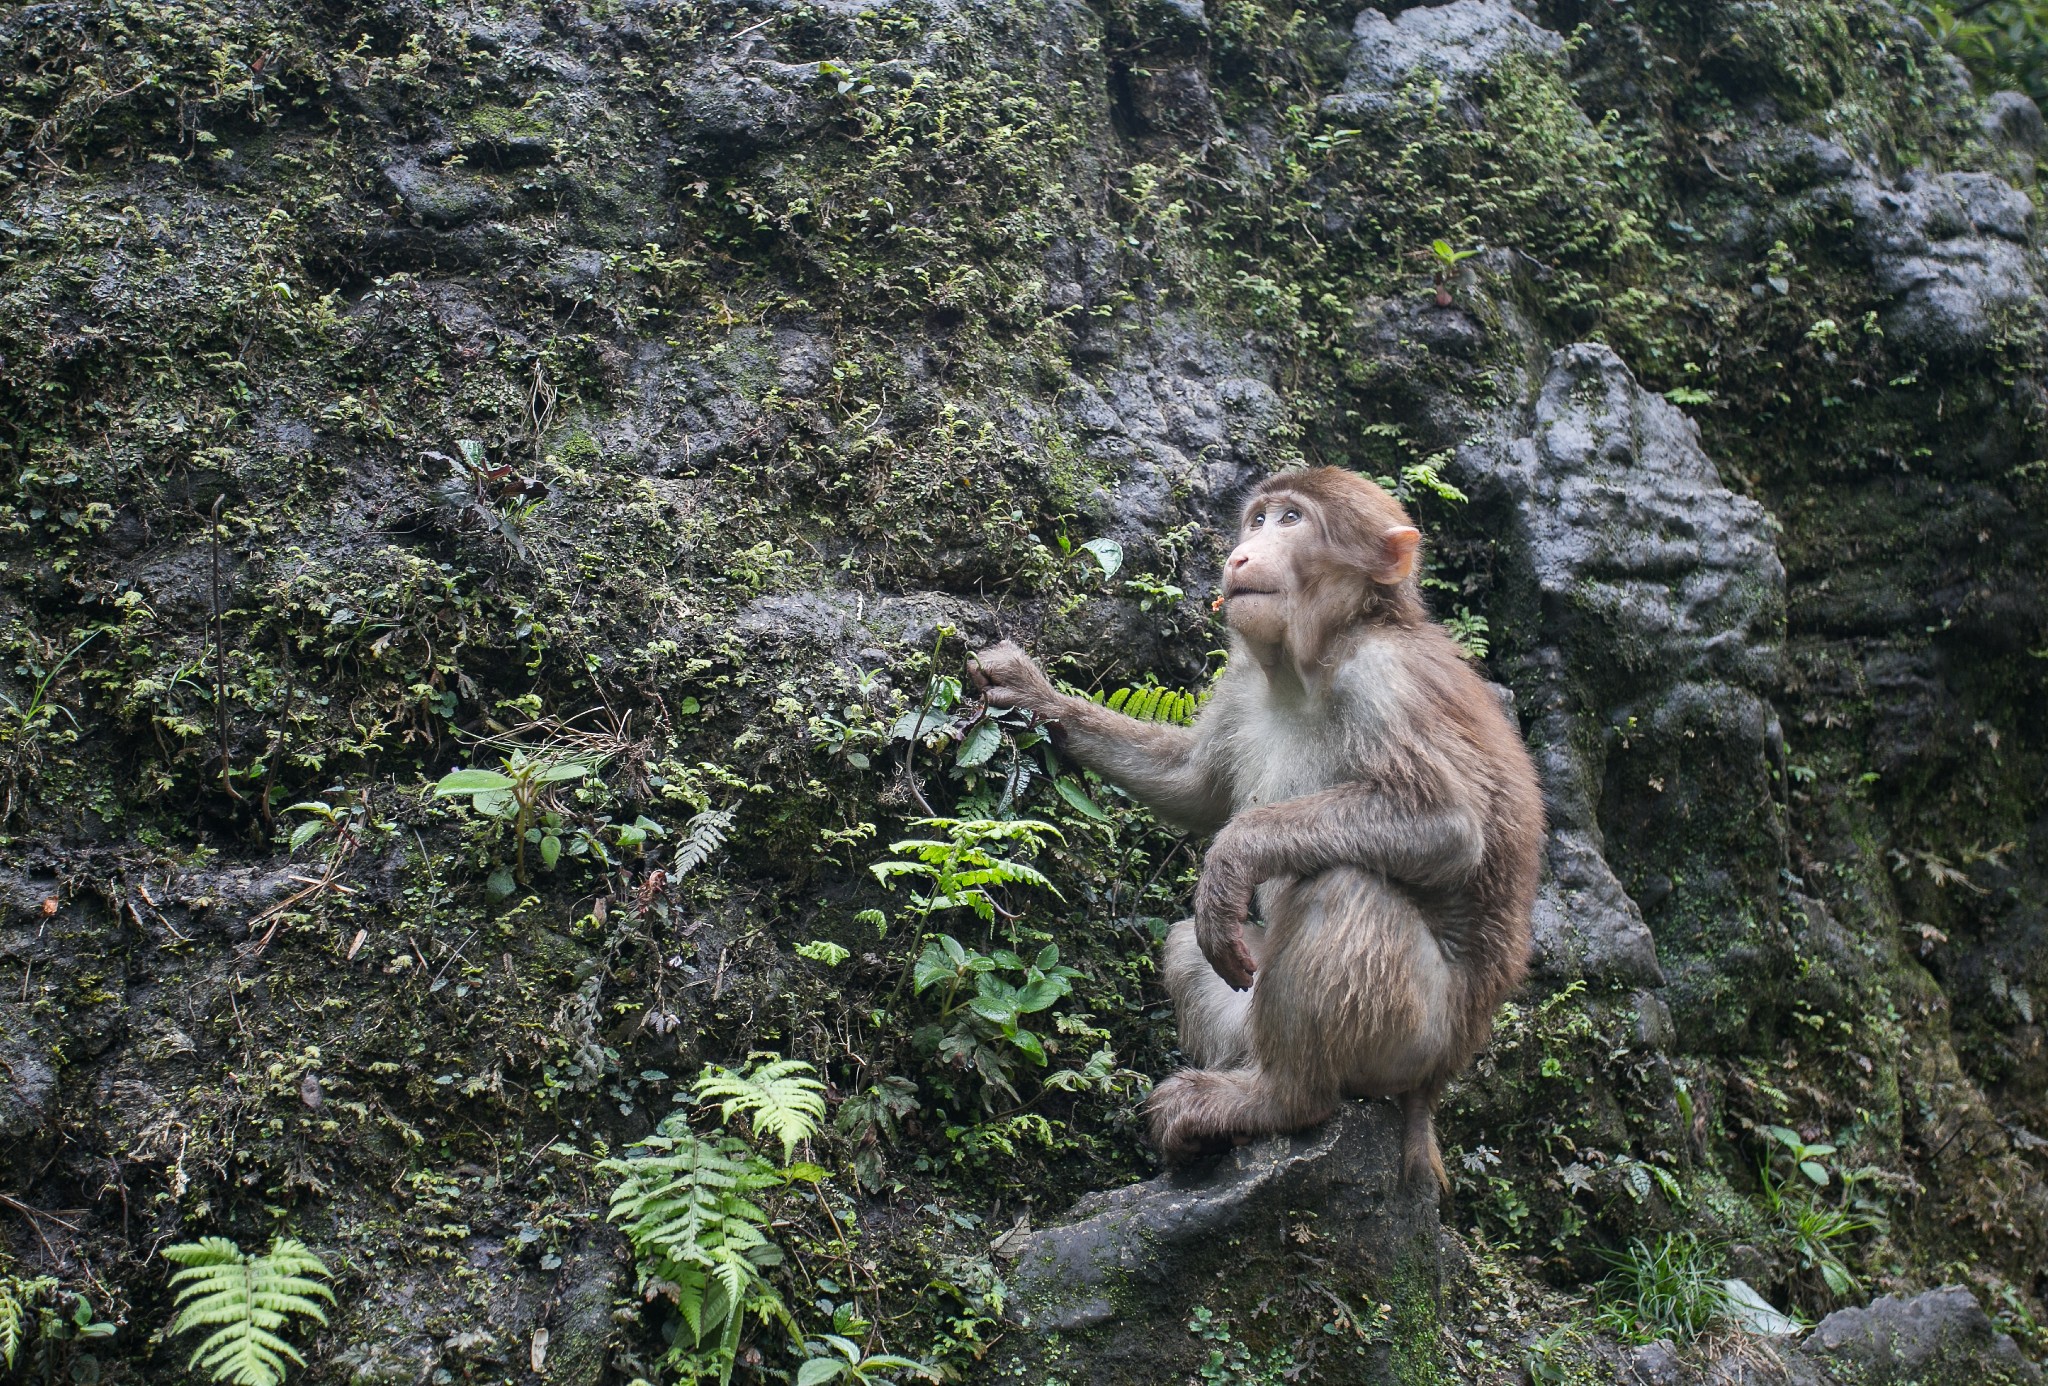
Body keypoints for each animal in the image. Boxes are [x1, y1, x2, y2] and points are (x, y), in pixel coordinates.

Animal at [970, 464, 1540, 1179]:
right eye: (1259, 520)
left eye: (1292, 521)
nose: (1241, 555)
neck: (1311, 663)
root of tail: (1439, 1080)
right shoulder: (1244, 681)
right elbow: (1195, 785)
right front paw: (1040, 697)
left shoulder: (1389, 680)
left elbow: (1449, 827)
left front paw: (1233, 858)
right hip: (1257, 996)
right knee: (1192, 946)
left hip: (1413, 1041)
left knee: (1345, 887)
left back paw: (1279, 1098)